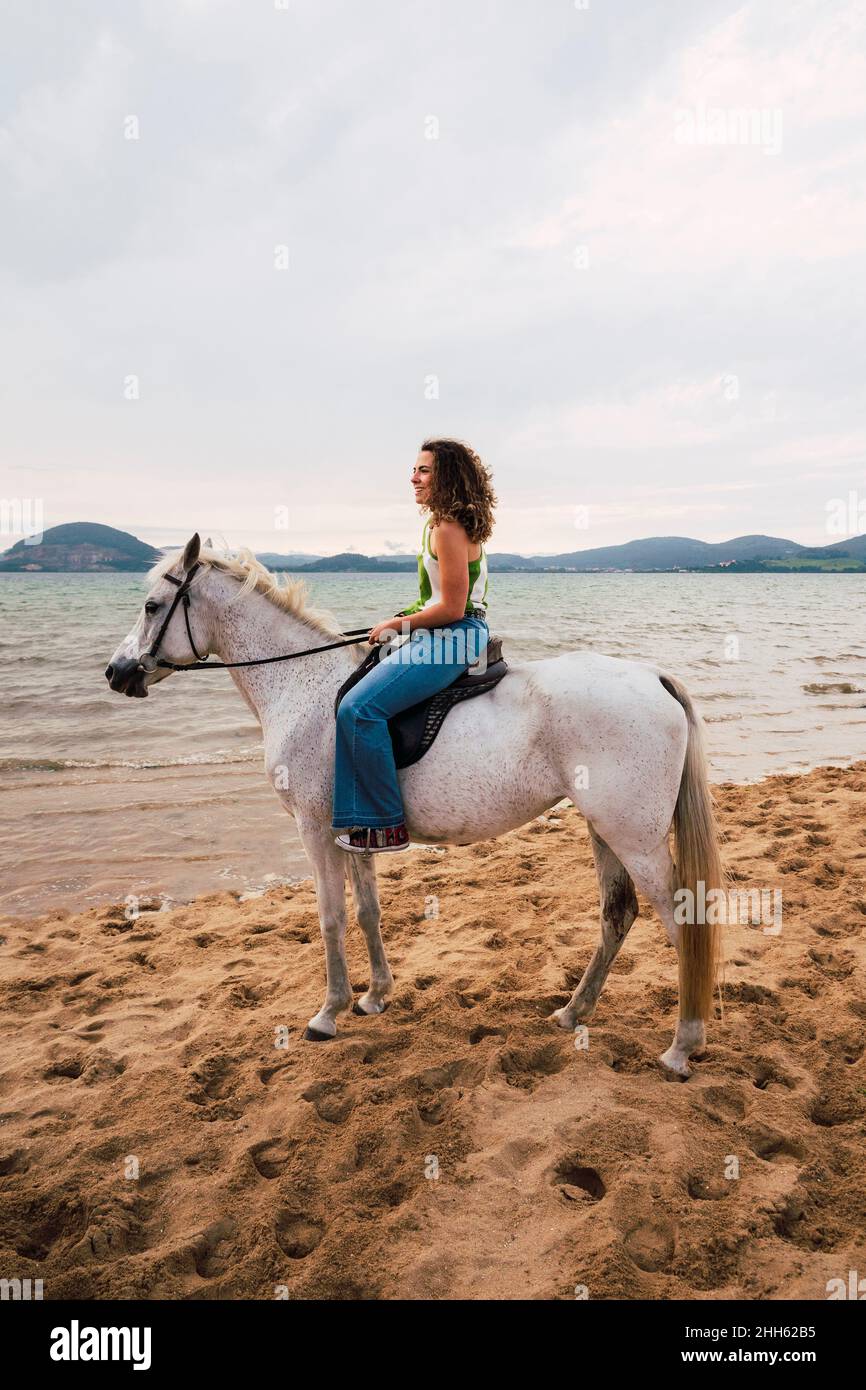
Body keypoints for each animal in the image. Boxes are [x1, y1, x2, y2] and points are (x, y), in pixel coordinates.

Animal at [103, 536, 722, 1078]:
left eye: (151, 605)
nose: (116, 672)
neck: (301, 683)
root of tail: (653, 677)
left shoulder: (314, 831)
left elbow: (329, 917)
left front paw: (328, 1013)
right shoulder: (354, 830)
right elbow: (367, 911)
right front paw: (375, 997)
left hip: (634, 837)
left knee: (682, 921)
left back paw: (681, 1047)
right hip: (603, 828)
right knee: (618, 915)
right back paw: (573, 1013)